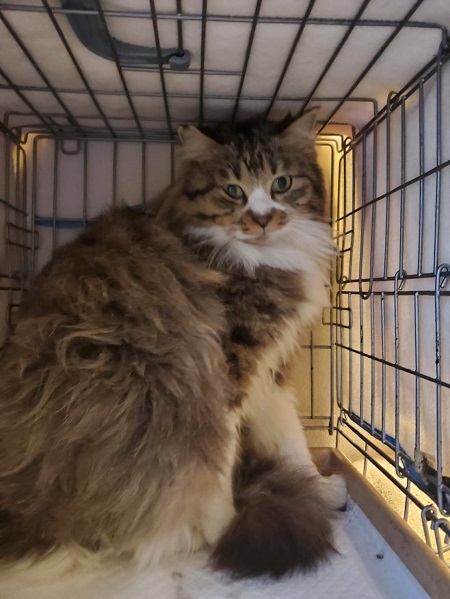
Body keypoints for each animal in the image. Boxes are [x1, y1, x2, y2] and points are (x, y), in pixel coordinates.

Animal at [0, 111, 346, 581]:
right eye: (233, 190)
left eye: (281, 184)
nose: (261, 220)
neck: (261, 257)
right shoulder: (229, 368)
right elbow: (221, 461)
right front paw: (226, 525)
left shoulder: (267, 371)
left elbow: (290, 439)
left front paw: (321, 488)